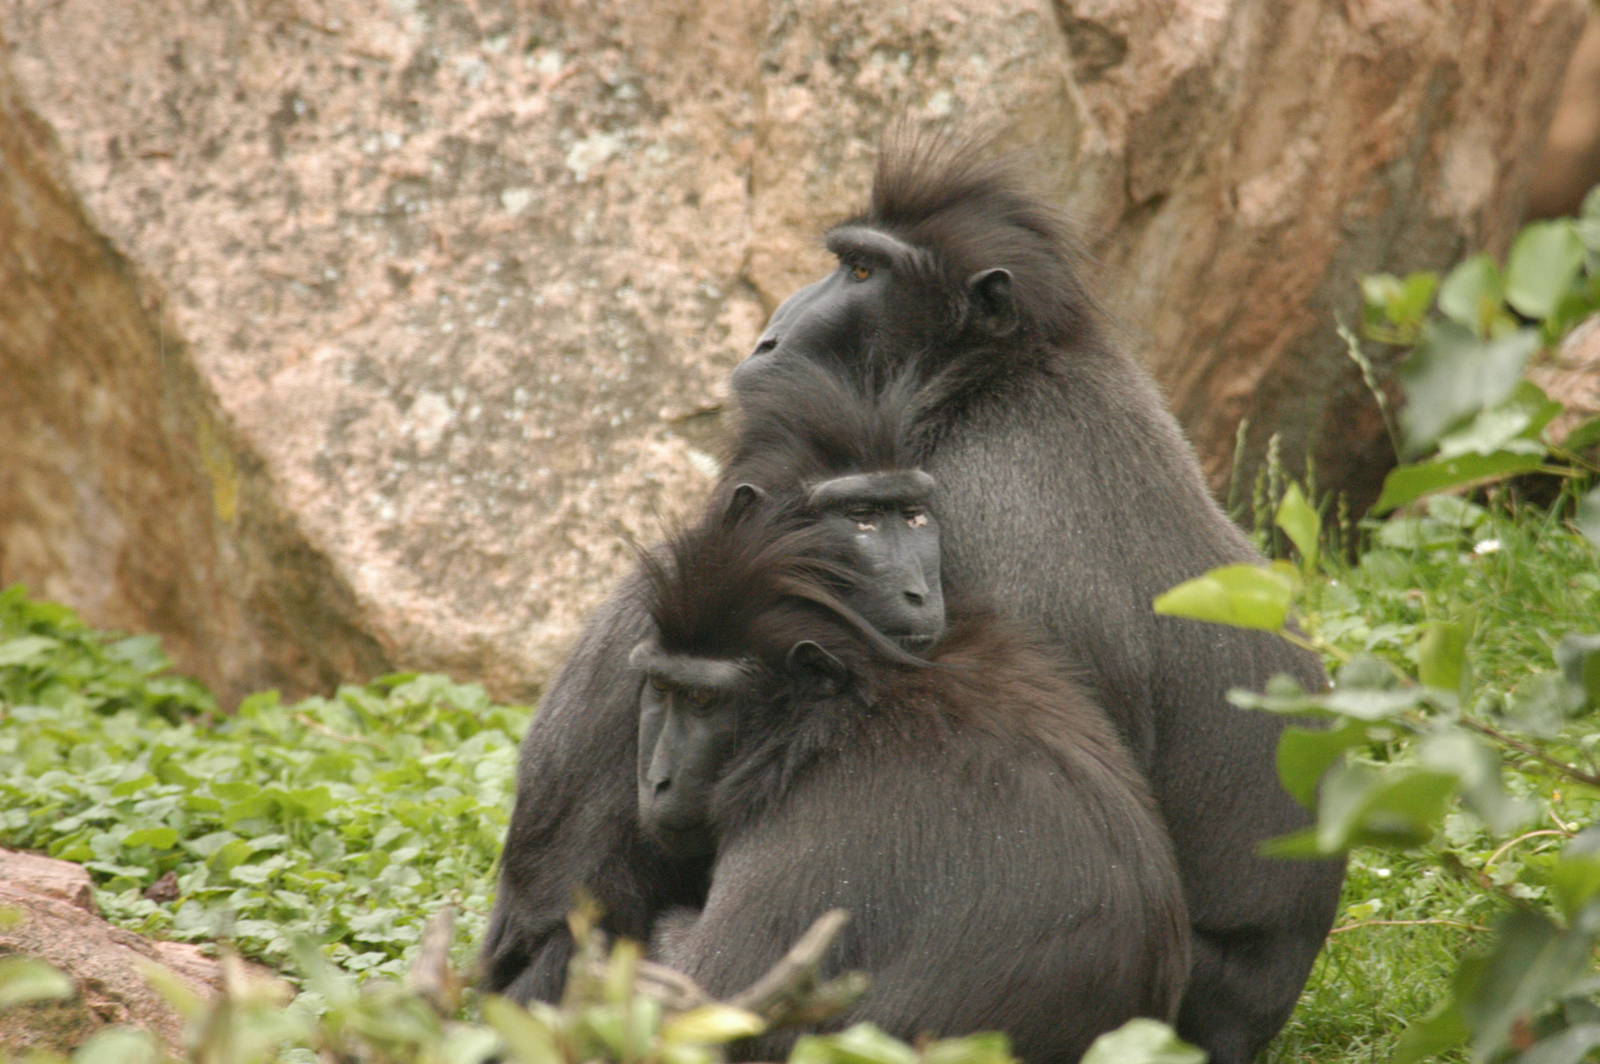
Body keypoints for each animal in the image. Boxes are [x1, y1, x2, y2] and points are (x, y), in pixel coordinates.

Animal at [630, 499, 1191, 1064]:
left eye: (702, 700)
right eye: (661, 687)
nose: (657, 780)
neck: (856, 703)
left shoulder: (822, 821)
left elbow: (711, 994)